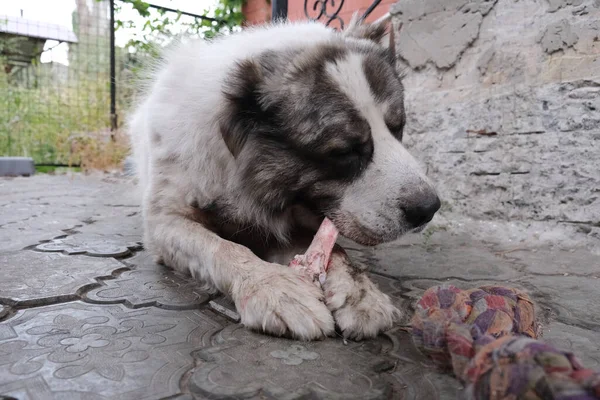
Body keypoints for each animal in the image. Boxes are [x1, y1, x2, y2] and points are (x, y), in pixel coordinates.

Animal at [129, 15, 440, 340]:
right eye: (345, 152)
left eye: (397, 128)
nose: (428, 208)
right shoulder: (166, 223)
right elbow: (223, 249)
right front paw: (275, 289)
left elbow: (336, 251)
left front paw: (359, 293)